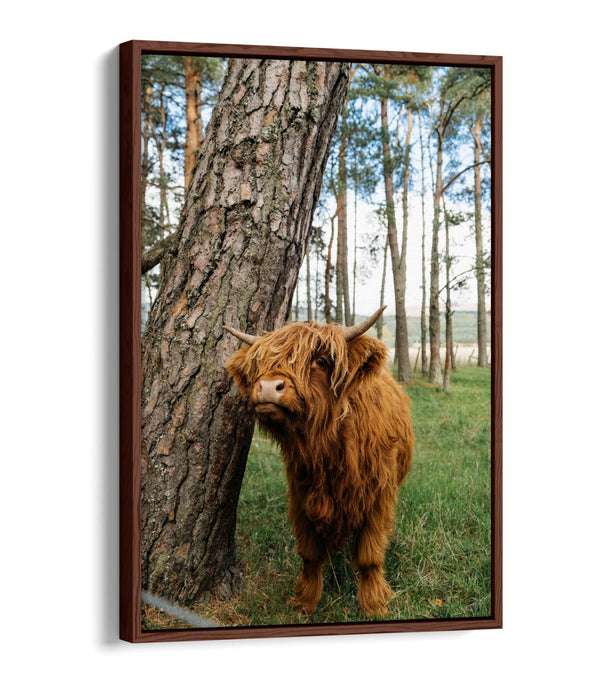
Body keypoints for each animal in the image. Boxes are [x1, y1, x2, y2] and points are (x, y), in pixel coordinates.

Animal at [224, 306, 414, 617]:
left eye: (321, 361)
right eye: (260, 363)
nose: (268, 387)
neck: (327, 448)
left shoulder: (377, 496)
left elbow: (369, 555)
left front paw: (374, 604)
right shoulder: (302, 494)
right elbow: (310, 553)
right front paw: (305, 600)